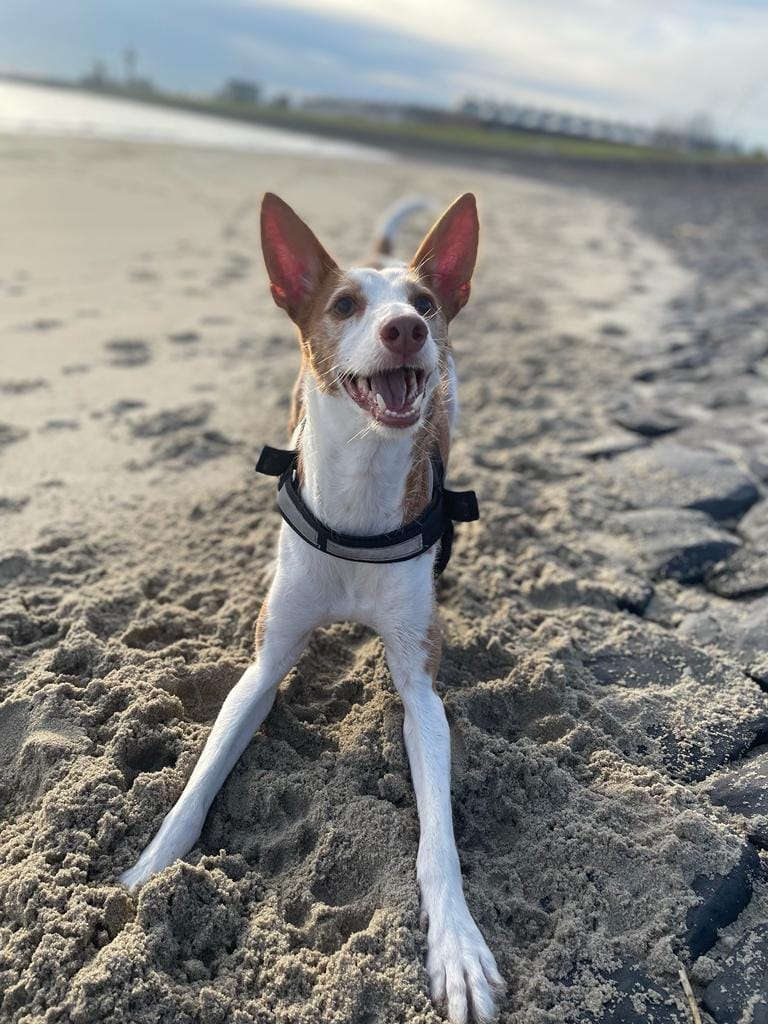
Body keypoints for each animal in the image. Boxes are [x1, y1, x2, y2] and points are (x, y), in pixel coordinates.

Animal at [120, 193, 505, 1024]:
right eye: (344, 306)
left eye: (425, 303)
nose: (407, 329)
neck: (357, 503)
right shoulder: (261, 669)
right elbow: (198, 784)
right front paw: (148, 877)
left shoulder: (421, 695)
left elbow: (439, 839)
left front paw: (457, 946)